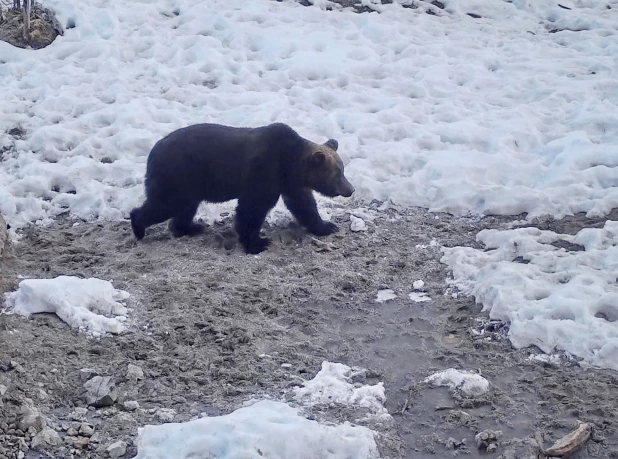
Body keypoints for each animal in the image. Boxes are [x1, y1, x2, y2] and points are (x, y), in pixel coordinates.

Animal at [127, 122, 354, 255]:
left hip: (190, 184)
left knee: (185, 207)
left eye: (342, 169)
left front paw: (327, 226)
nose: (350, 189)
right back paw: (138, 226)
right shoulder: (263, 172)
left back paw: (190, 227)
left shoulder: (289, 183)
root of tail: (153, 151)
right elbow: (252, 209)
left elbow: (304, 205)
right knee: (165, 203)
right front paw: (257, 243)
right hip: (179, 174)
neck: (289, 164)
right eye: (338, 173)